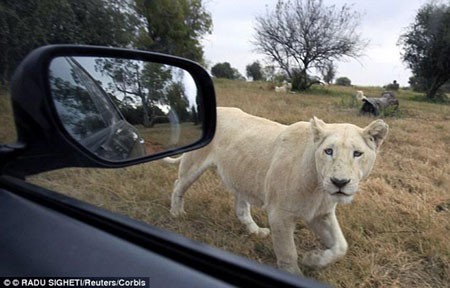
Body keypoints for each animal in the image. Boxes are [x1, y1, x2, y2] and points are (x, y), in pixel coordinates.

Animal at [163, 107, 388, 276]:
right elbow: (288, 252)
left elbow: (341, 246)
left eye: (357, 153)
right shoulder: (280, 215)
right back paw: (176, 213)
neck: (318, 188)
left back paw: (255, 231)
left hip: (242, 176)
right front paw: (296, 273)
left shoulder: (321, 214)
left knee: (241, 208)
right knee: (178, 184)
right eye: (328, 151)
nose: (339, 182)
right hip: (193, 163)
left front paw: (313, 259)